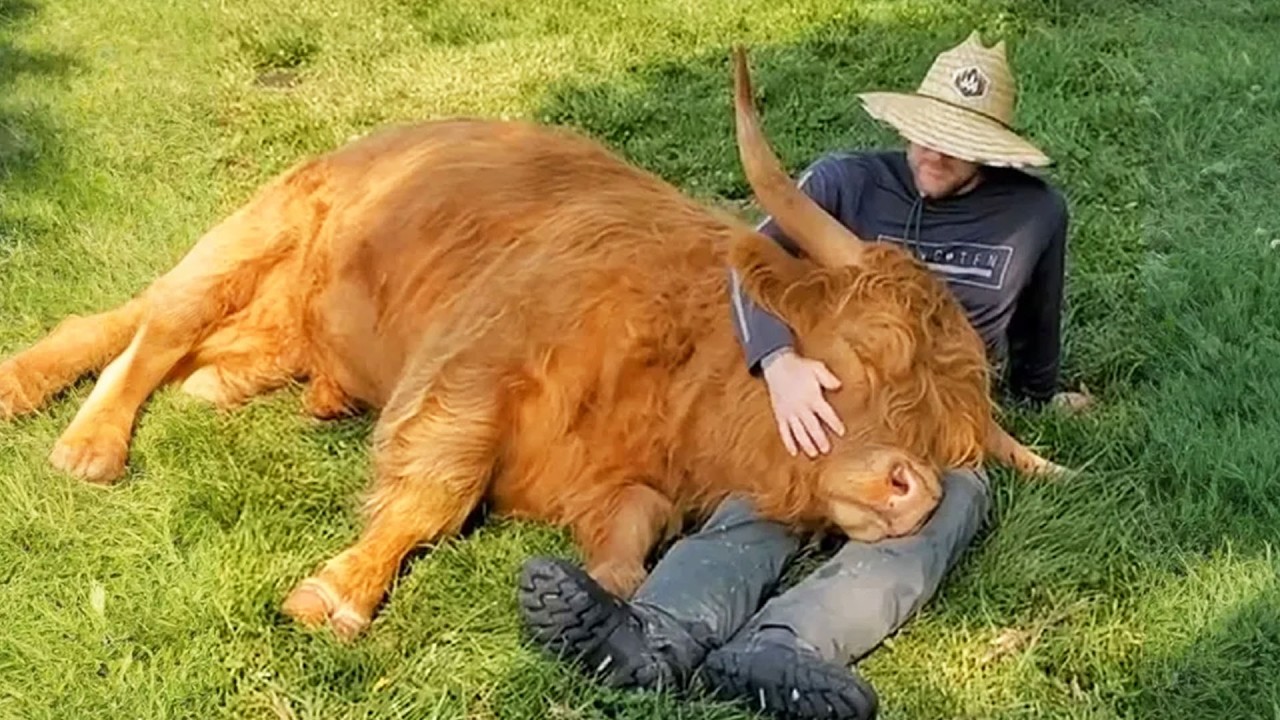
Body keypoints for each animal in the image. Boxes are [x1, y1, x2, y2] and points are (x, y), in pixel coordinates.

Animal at [0, 48, 1067, 641]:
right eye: (862, 348)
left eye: (954, 439)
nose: (912, 491)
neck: (681, 370)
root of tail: (379, 138)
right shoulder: (470, 372)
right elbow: (432, 488)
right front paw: (337, 594)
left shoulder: (625, 481)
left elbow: (634, 536)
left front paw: (594, 593)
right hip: (258, 227)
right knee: (150, 322)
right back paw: (81, 439)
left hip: (276, 317)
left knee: (159, 336)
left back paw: (172, 390)